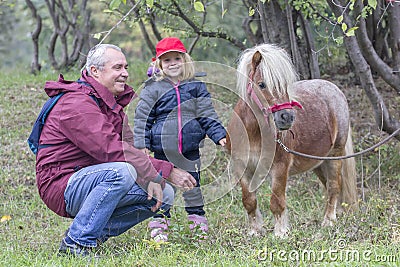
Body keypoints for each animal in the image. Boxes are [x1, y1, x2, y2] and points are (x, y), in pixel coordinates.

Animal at [225, 44, 360, 239]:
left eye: (284, 85)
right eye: (261, 84)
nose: (287, 117)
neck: (253, 134)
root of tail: (335, 90)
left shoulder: (279, 168)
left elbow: (276, 201)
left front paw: (280, 232)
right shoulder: (243, 168)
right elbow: (249, 201)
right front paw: (255, 231)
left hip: (335, 154)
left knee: (334, 186)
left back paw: (329, 221)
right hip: (318, 162)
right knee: (329, 186)